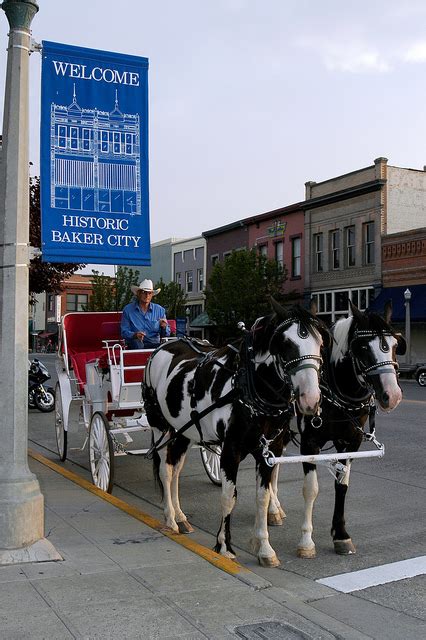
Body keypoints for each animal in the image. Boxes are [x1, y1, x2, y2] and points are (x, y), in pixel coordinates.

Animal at [143, 300, 330, 564]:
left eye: (320, 343)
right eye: (285, 344)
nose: (310, 399)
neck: (251, 388)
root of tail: (163, 346)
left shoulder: (270, 450)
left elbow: (263, 496)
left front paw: (265, 548)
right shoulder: (231, 449)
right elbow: (228, 496)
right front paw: (224, 546)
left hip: (184, 431)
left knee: (175, 469)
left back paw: (180, 516)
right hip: (161, 426)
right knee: (165, 471)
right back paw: (170, 519)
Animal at [296, 302, 406, 556]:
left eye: (395, 345)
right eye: (363, 347)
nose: (392, 395)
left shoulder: (350, 442)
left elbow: (342, 485)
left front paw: (341, 534)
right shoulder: (309, 443)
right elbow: (311, 488)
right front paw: (306, 540)